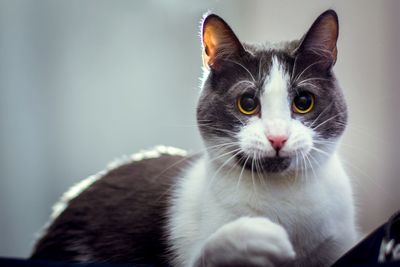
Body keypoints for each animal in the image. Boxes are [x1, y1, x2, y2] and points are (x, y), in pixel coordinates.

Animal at [31, 9, 356, 266]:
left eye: (303, 102)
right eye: (247, 103)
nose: (277, 138)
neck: (284, 193)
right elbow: (210, 250)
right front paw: (256, 236)